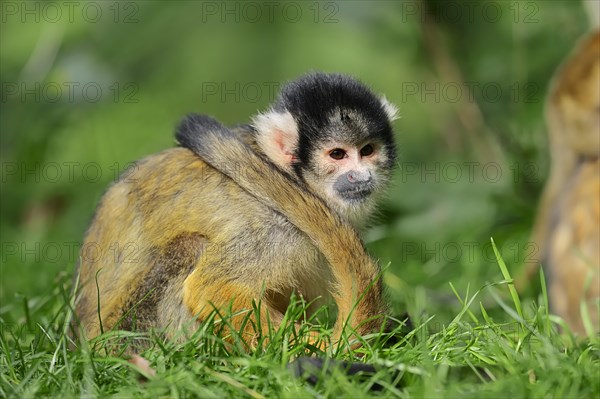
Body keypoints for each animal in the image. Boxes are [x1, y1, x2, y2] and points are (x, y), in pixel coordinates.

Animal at [74, 73, 398, 348]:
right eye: (337, 154)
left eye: (367, 151)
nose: (361, 176)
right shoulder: (271, 225)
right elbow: (213, 289)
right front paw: (311, 346)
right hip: (130, 332)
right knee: (191, 247)